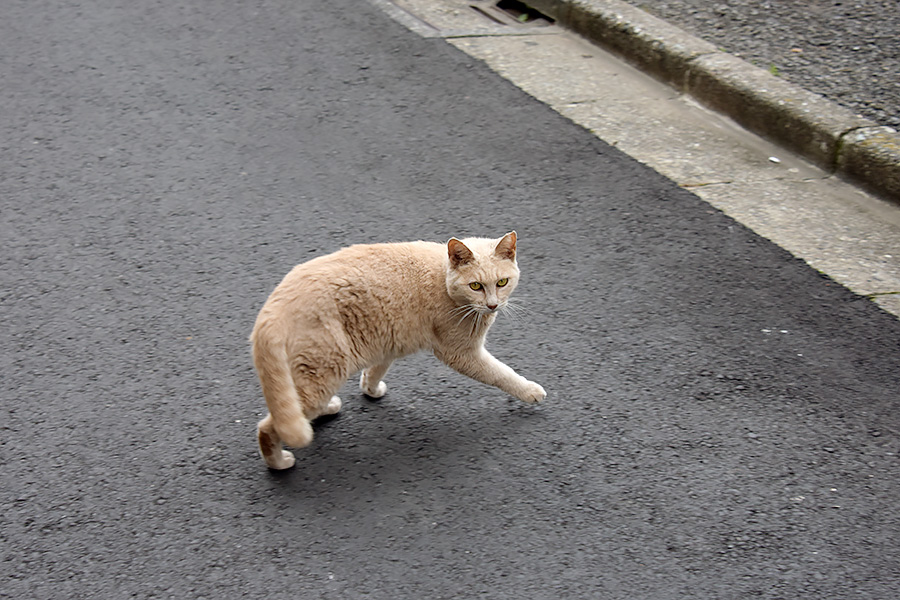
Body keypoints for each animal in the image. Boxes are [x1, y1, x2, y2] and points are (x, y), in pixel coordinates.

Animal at [250, 230, 544, 468]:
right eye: (476, 286)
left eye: (502, 282)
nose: (493, 305)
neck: (443, 278)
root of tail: (270, 310)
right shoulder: (462, 353)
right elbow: (502, 374)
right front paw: (531, 391)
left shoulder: (386, 341)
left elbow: (376, 371)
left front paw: (370, 389)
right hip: (325, 370)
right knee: (268, 426)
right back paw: (279, 463)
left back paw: (326, 409)